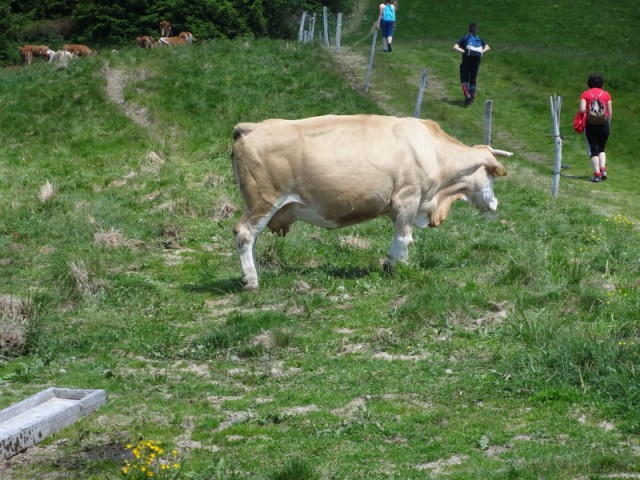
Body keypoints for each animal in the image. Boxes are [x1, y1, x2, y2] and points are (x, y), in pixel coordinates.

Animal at [232, 114, 512, 290]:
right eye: (490, 174)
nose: (495, 203)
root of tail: (252, 127)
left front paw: (389, 265)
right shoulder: (408, 199)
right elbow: (404, 237)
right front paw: (399, 269)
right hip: (263, 201)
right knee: (244, 234)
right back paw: (252, 281)